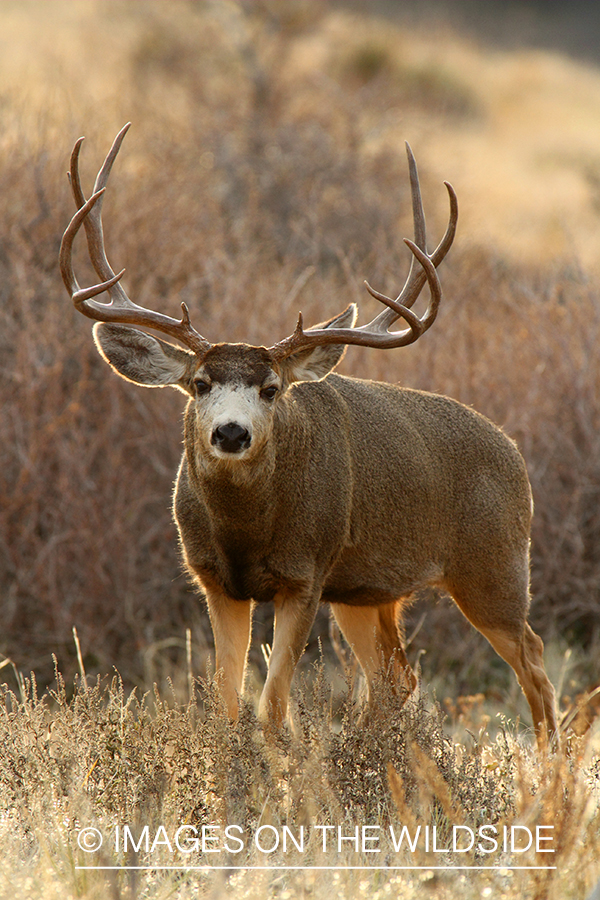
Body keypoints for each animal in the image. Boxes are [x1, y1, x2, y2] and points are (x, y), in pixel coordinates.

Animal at [59, 125, 556, 744]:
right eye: (199, 383)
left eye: (272, 388)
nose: (230, 433)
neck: (244, 533)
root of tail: (513, 452)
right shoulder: (215, 580)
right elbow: (226, 701)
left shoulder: (306, 573)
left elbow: (272, 705)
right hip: (367, 590)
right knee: (396, 679)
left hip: (494, 564)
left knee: (534, 663)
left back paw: (549, 767)